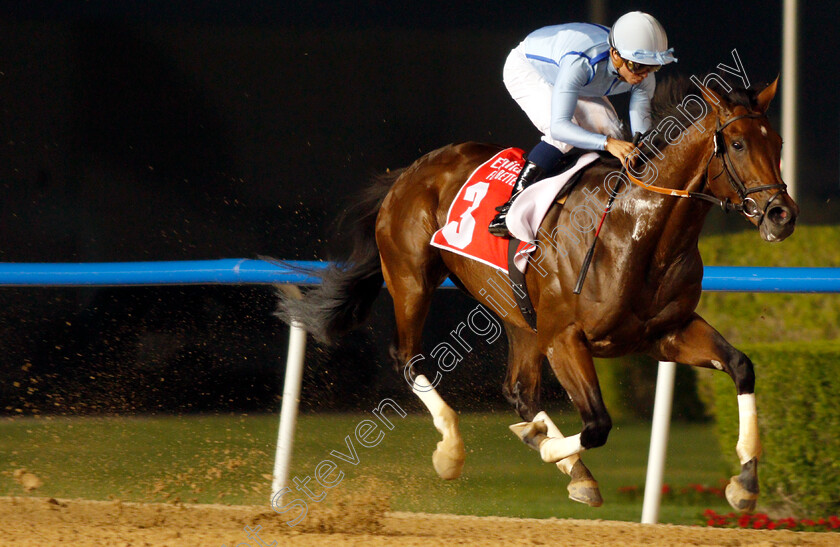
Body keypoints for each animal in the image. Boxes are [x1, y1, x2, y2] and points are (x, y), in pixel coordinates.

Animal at [278, 77, 796, 512]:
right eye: (737, 143)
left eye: (778, 143)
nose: (781, 215)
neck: (638, 234)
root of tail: (413, 169)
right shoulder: (564, 337)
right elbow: (598, 424)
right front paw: (547, 446)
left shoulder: (666, 333)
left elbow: (741, 366)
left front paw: (745, 483)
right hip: (412, 278)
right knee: (407, 357)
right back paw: (453, 449)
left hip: (517, 314)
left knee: (518, 390)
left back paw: (557, 454)